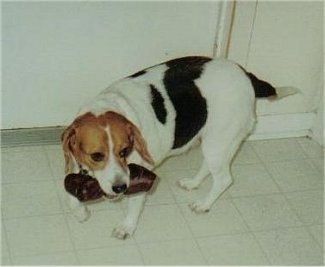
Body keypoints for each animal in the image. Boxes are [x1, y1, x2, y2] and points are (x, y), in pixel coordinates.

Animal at [61, 57, 296, 241]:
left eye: (125, 151)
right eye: (96, 156)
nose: (120, 188)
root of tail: (246, 75)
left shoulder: (138, 174)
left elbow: (135, 204)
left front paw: (126, 226)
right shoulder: (77, 167)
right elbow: (71, 196)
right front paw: (81, 213)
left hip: (217, 141)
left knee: (224, 179)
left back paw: (204, 204)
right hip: (212, 141)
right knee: (209, 167)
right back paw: (193, 183)